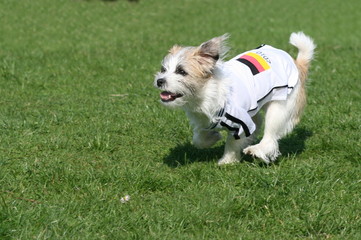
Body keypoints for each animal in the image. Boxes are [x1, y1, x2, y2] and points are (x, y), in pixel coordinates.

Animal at [153, 32, 314, 165]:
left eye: (181, 71)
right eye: (163, 70)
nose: (160, 81)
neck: (205, 93)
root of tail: (296, 63)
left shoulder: (241, 122)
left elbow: (232, 142)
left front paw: (227, 160)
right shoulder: (203, 120)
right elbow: (199, 139)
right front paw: (212, 137)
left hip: (281, 106)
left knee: (270, 134)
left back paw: (257, 150)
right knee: (259, 122)